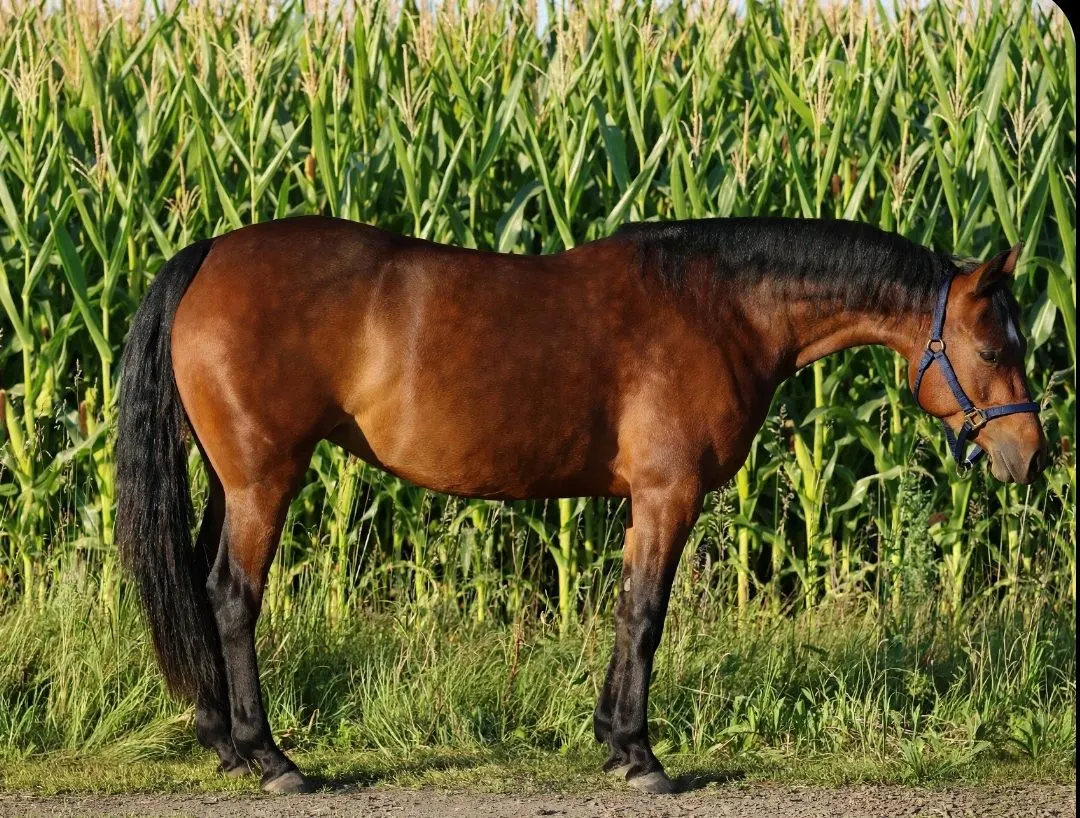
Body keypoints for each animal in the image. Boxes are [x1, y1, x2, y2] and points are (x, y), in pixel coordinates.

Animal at [115, 216, 1047, 795]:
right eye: (992, 347)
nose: (1032, 455)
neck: (720, 307)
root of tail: (211, 255)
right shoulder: (668, 495)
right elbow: (644, 616)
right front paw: (639, 755)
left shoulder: (645, 501)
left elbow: (627, 610)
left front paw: (612, 739)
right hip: (264, 479)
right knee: (233, 596)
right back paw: (270, 756)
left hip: (231, 480)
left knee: (198, 584)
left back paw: (223, 741)